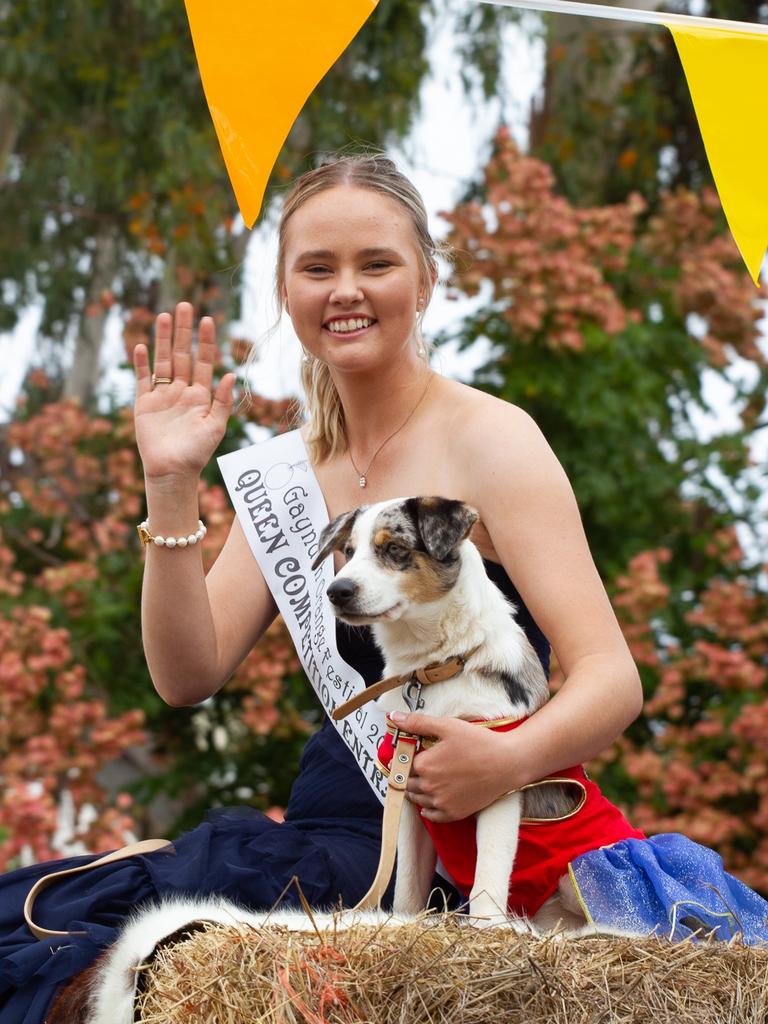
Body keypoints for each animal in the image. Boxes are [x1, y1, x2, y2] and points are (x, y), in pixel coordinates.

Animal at [313, 493, 614, 929]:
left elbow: (488, 876)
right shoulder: (406, 790)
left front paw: (486, 928)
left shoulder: (495, 782)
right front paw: (404, 922)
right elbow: (407, 884)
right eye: (349, 552)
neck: (439, 666)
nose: (337, 591)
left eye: (394, 549)